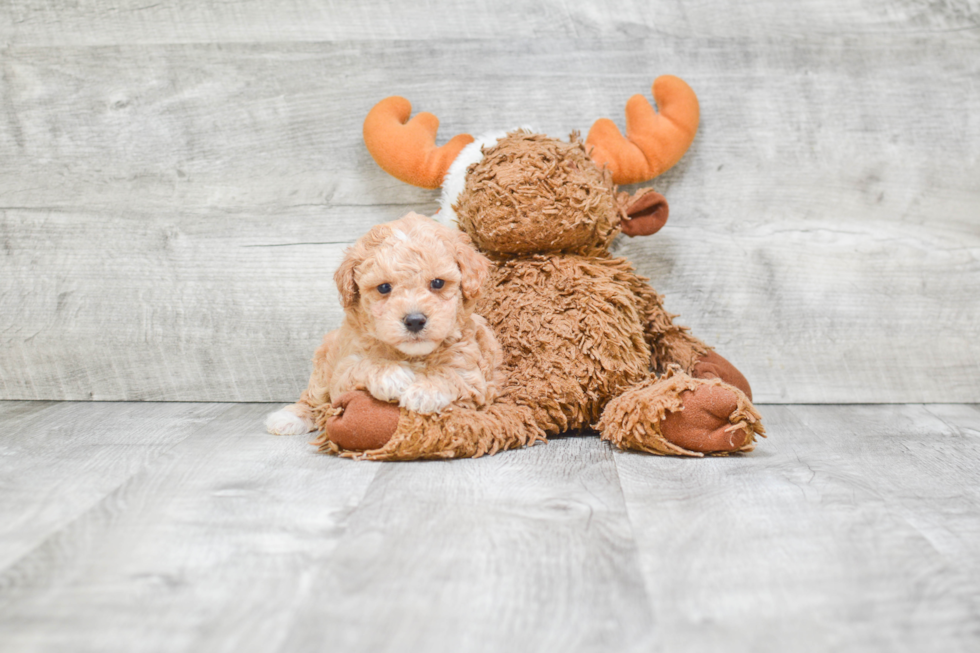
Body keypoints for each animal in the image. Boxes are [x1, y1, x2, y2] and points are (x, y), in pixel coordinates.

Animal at [264, 211, 502, 436]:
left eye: (437, 283)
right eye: (384, 288)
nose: (415, 321)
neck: (412, 355)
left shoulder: (471, 374)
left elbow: (449, 374)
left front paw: (424, 390)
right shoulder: (343, 370)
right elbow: (362, 365)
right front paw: (392, 375)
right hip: (323, 366)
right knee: (312, 397)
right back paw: (290, 417)